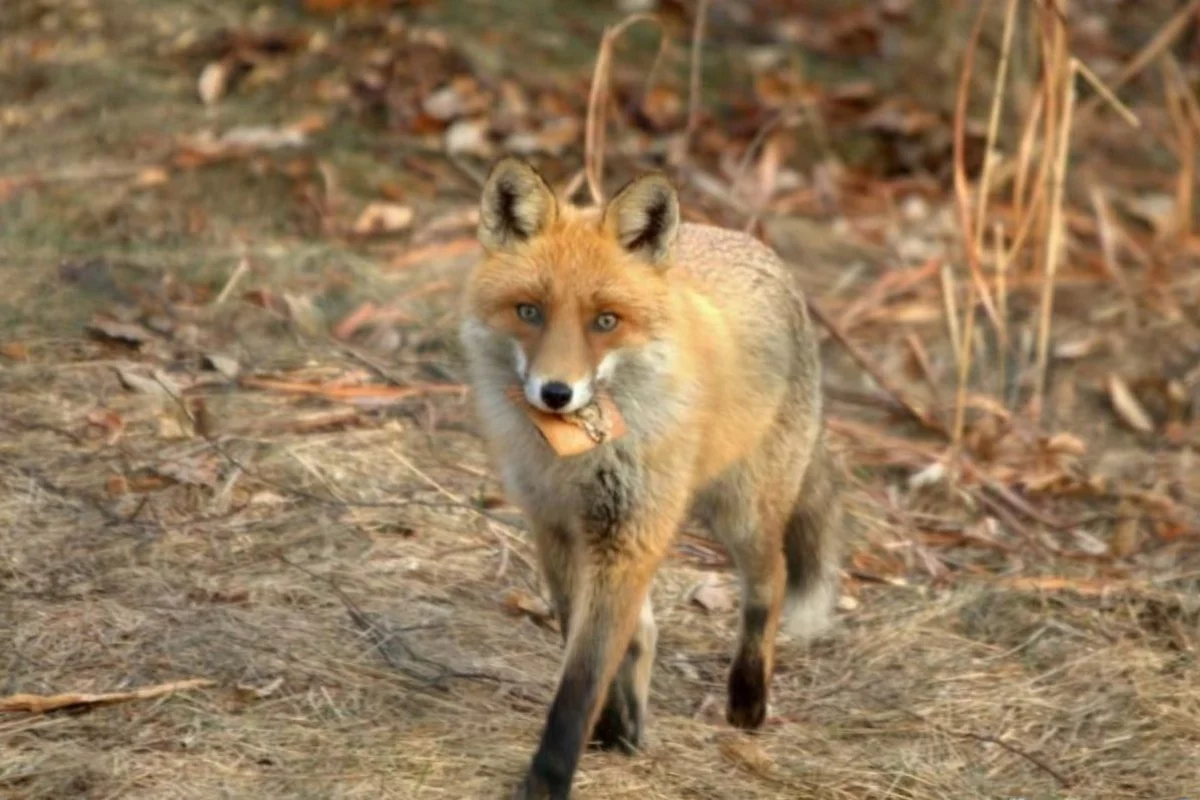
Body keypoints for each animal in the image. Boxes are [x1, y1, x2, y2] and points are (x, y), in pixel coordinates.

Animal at [458, 158, 844, 800]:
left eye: (605, 322)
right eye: (530, 311)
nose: (556, 393)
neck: (576, 456)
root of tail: (756, 244)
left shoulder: (629, 533)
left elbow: (581, 680)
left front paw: (549, 778)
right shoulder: (555, 527)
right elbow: (588, 640)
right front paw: (612, 729)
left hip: (740, 511)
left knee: (772, 581)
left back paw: (749, 698)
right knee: (646, 629)